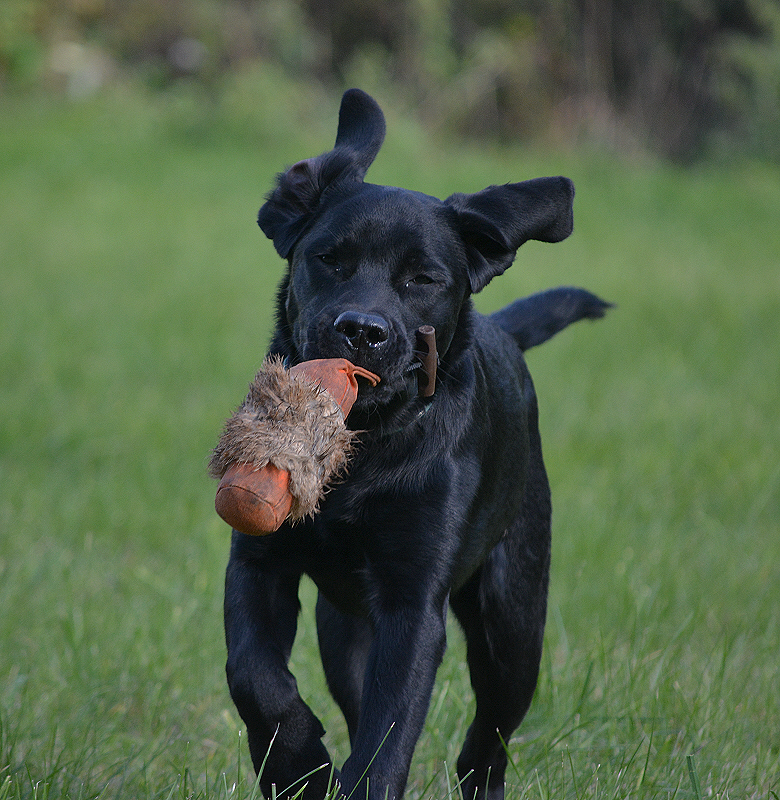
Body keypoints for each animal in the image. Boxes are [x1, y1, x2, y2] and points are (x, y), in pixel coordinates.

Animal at [221, 87, 608, 800]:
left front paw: (346, 779)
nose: (362, 330)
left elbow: (390, 731)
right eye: (329, 258)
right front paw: (298, 765)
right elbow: (255, 678)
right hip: (343, 627)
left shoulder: (413, 604)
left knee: (492, 730)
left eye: (423, 279)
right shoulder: (258, 562)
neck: (363, 447)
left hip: (512, 619)